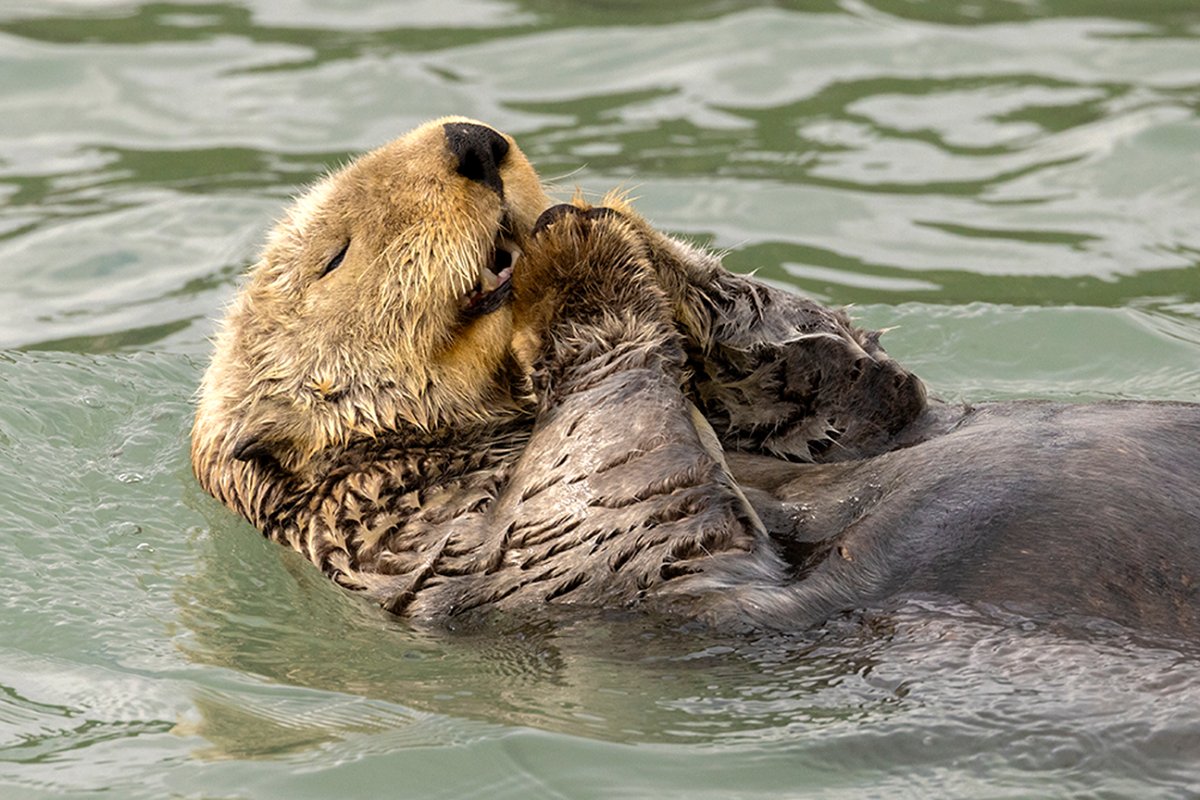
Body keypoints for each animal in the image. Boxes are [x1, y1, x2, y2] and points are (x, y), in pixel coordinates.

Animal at [192, 117, 1200, 638]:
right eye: (333, 254)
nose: (473, 141)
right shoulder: (431, 541)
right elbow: (622, 498)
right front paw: (578, 261)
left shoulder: (857, 412)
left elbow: (864, 389)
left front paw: (611, 223)